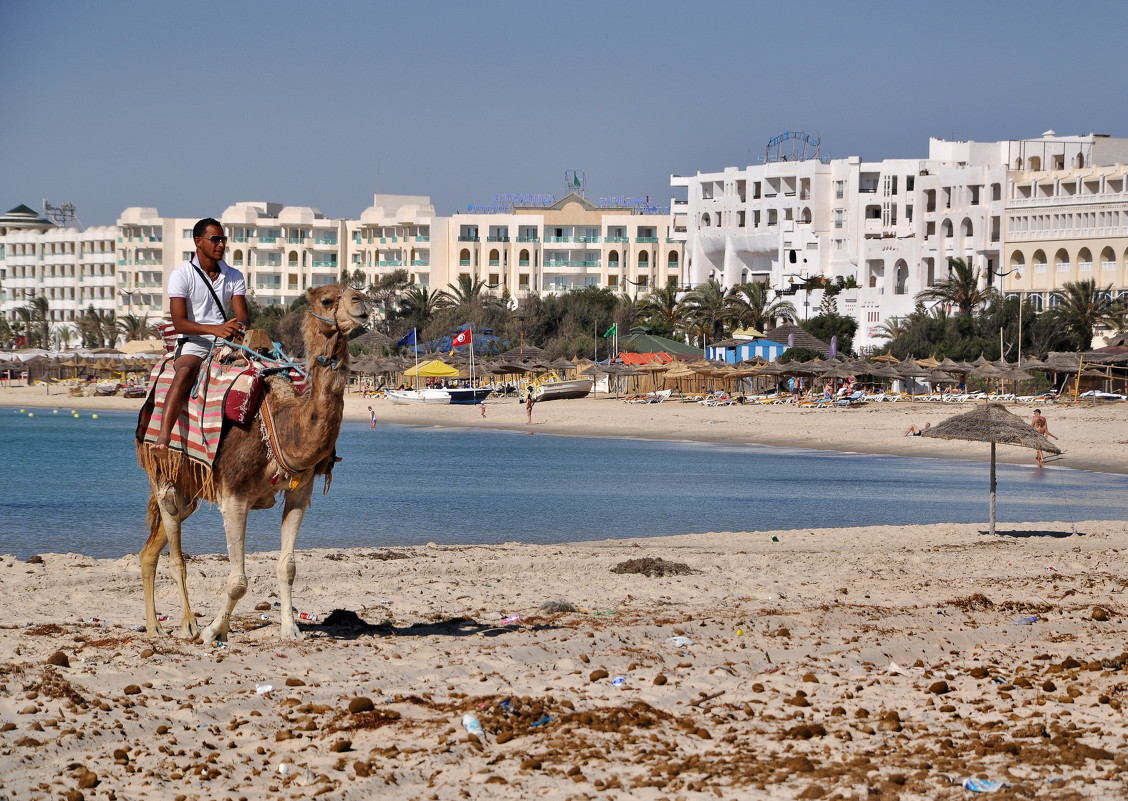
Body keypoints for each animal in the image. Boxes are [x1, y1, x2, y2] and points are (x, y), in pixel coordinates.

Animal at [134, 285, 367, 645]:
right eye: (327, 300)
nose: (361, 302)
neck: (281, 426)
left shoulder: (300, 492)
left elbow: (287, 567)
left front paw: (290, 629)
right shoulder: (233, 495)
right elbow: (238, 581)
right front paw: (213, 630)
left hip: (191, 490)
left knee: (151, 550)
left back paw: (155, 625)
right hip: (162, 472)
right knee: (175, 549)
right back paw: (188, 625)